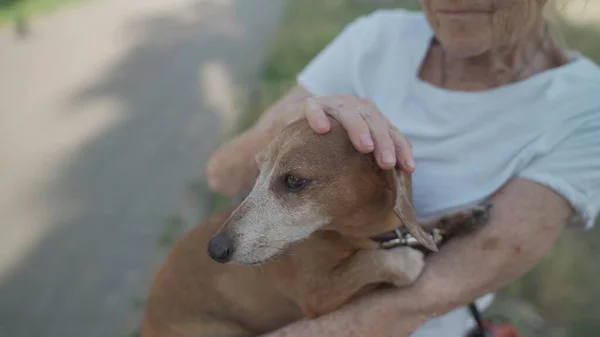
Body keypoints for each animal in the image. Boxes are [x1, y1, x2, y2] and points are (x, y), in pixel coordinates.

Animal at [142, 116, 492, 336]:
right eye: (258, 172)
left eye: (294, 180)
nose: (215, 249)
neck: (355, 235)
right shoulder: (317, 296)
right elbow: (383, 262)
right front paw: (407, 257)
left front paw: (457, 218)